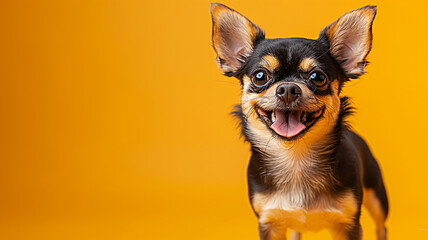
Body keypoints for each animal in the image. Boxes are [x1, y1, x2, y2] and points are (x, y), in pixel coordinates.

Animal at [211, 3, 388, 240]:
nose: (287, 88)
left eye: (317, 78)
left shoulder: (348, 225)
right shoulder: (270, 223)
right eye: (260, 76)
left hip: (377, 197)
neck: (295, 158)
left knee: (381, 226)